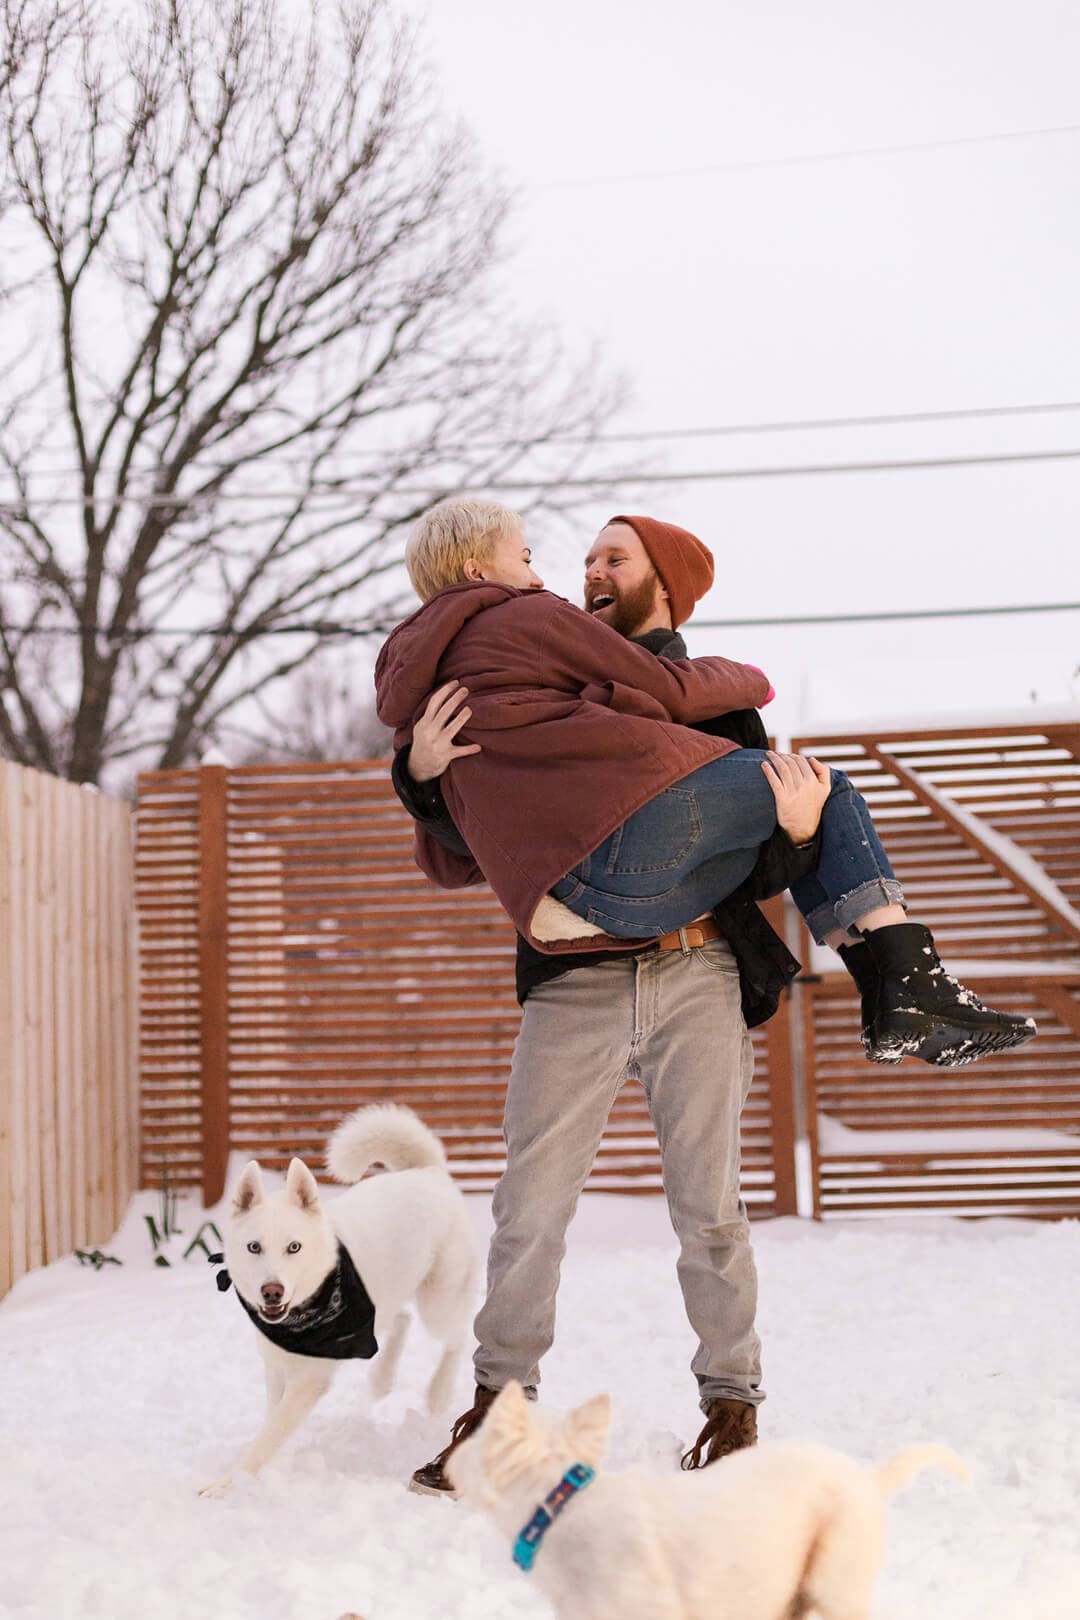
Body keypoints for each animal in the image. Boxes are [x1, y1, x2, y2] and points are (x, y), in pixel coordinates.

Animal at [199, 1108, 476, 1496]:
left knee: (456, 1337)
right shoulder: (277, 1369)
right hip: (386, 1295)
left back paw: (437, 1393)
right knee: (402, 1319)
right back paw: (382, 1379)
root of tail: (427, 1171)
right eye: (254, 1247)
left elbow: (269, 1435)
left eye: (294, 1247)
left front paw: (229, 1483)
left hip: (440, 1301)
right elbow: (272, 1424)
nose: (272, 1291)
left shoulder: (308, 1382)